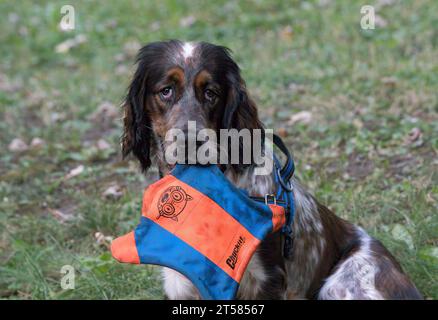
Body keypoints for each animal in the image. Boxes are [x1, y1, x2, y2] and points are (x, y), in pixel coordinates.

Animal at [121, 40, 422, 300]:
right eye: (166, 90)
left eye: (211, 93)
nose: (190, 141)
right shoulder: (181, 283)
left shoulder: (267, 278)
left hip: (342, 284)